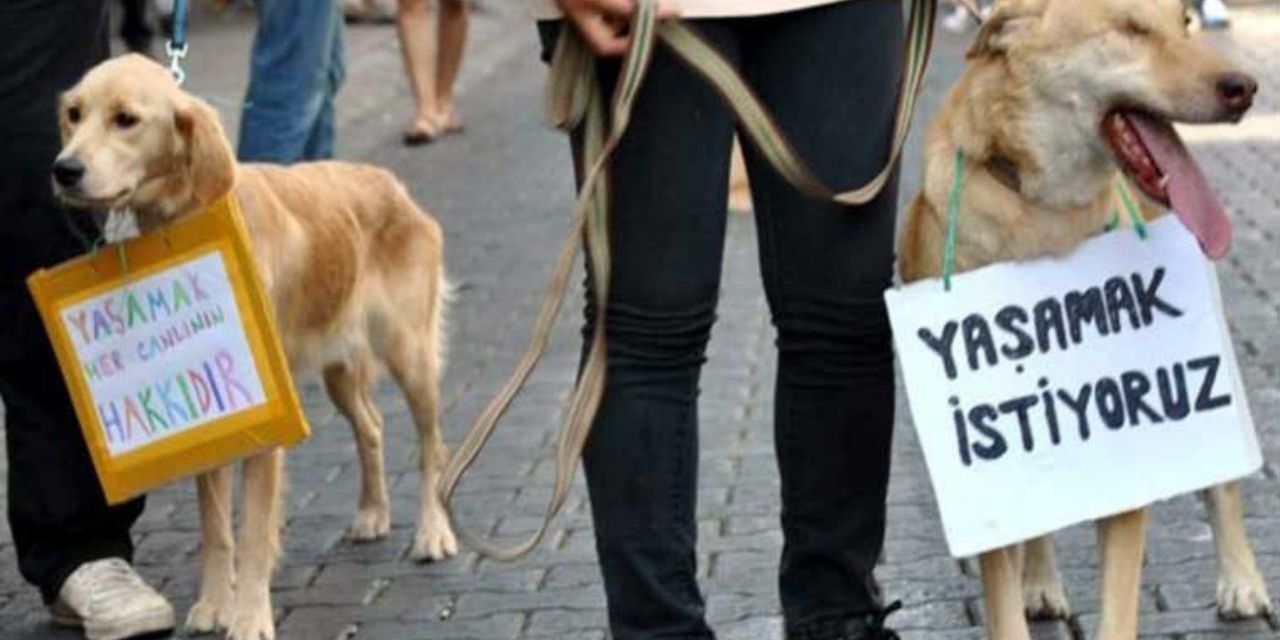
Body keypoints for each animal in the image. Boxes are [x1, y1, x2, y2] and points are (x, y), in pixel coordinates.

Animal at [51, 56, 460, 640]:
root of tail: (392, 184)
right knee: (373, 428)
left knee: (431, 449)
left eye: (125, 119)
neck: (186, 215)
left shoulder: (266, 427)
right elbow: (216, 529)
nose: (64, 169)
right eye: (74, 114)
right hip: (339, 371)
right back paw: (372, 514)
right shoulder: (215, 422)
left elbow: (252, 534)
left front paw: (248, 618)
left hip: (411, 357)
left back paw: (432, 533)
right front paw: (213, 605)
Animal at [896, 1, 1264, 640]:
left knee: (1223, 483)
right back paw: (1041, 582)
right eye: (1131, 28)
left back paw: (1242, 580)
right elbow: (1003, 598)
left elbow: (1118, 605)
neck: (1043, 216)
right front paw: (1026, 591)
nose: (1243, 87)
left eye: (1187, 23)